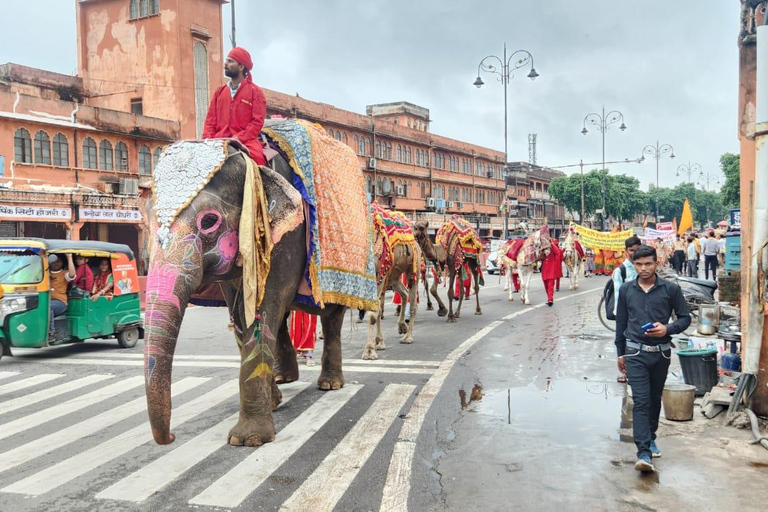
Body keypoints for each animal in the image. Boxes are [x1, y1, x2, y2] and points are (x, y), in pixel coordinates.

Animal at [142, 149, 348, 448]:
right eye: (146, 221)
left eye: (209, 221)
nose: (171, 436)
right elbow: (241, 315)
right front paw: (272, 404)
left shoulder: (286, 238)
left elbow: (261, 313)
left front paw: (248, 440)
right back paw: (284, 377)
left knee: (332, 317)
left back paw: (330, 384)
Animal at [364, 204, 424, 360]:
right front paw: (378, 343)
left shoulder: (378, 275)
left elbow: (373, 312)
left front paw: (369, 351)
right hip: (393, 276)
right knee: (404, 293)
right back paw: (401, 326)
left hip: (413, 267)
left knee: (412, 299)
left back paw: (408, 337)